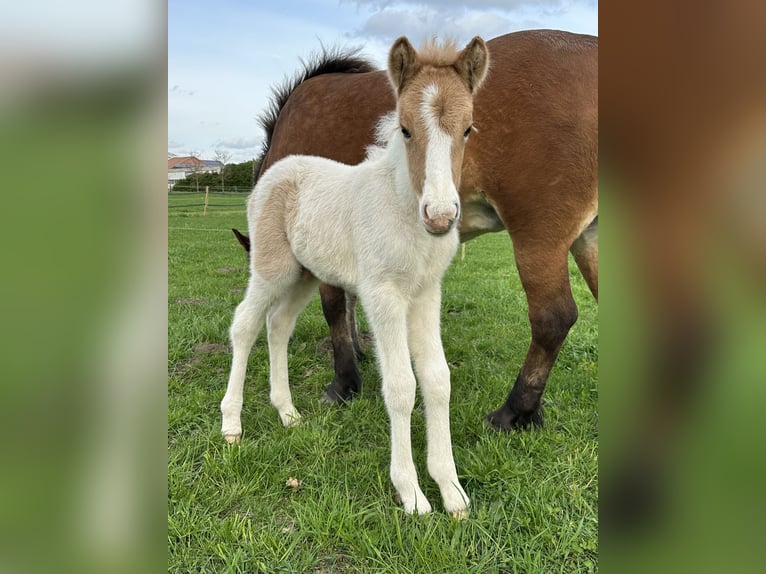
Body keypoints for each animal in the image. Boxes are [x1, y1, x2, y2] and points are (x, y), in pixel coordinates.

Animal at [220, 36, 490, 516]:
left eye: (468, 129)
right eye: (405, 129)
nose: (441, 216)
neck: (402, 208)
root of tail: (274, 171)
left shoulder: (426, 293)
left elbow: (437, 380)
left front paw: (452, 491)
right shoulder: (382, 293)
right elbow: (401, 385)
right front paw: (412, 493)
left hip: (304, 274)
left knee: (278, 325)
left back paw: (287, 413)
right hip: (273, 268)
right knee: (246, 325)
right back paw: (232, 425)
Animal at [248, 30, 598, 430]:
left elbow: (334, 305)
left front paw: (343, 383)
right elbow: (349, 300)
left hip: (538, 238)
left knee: (553, 319)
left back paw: (514, 410)